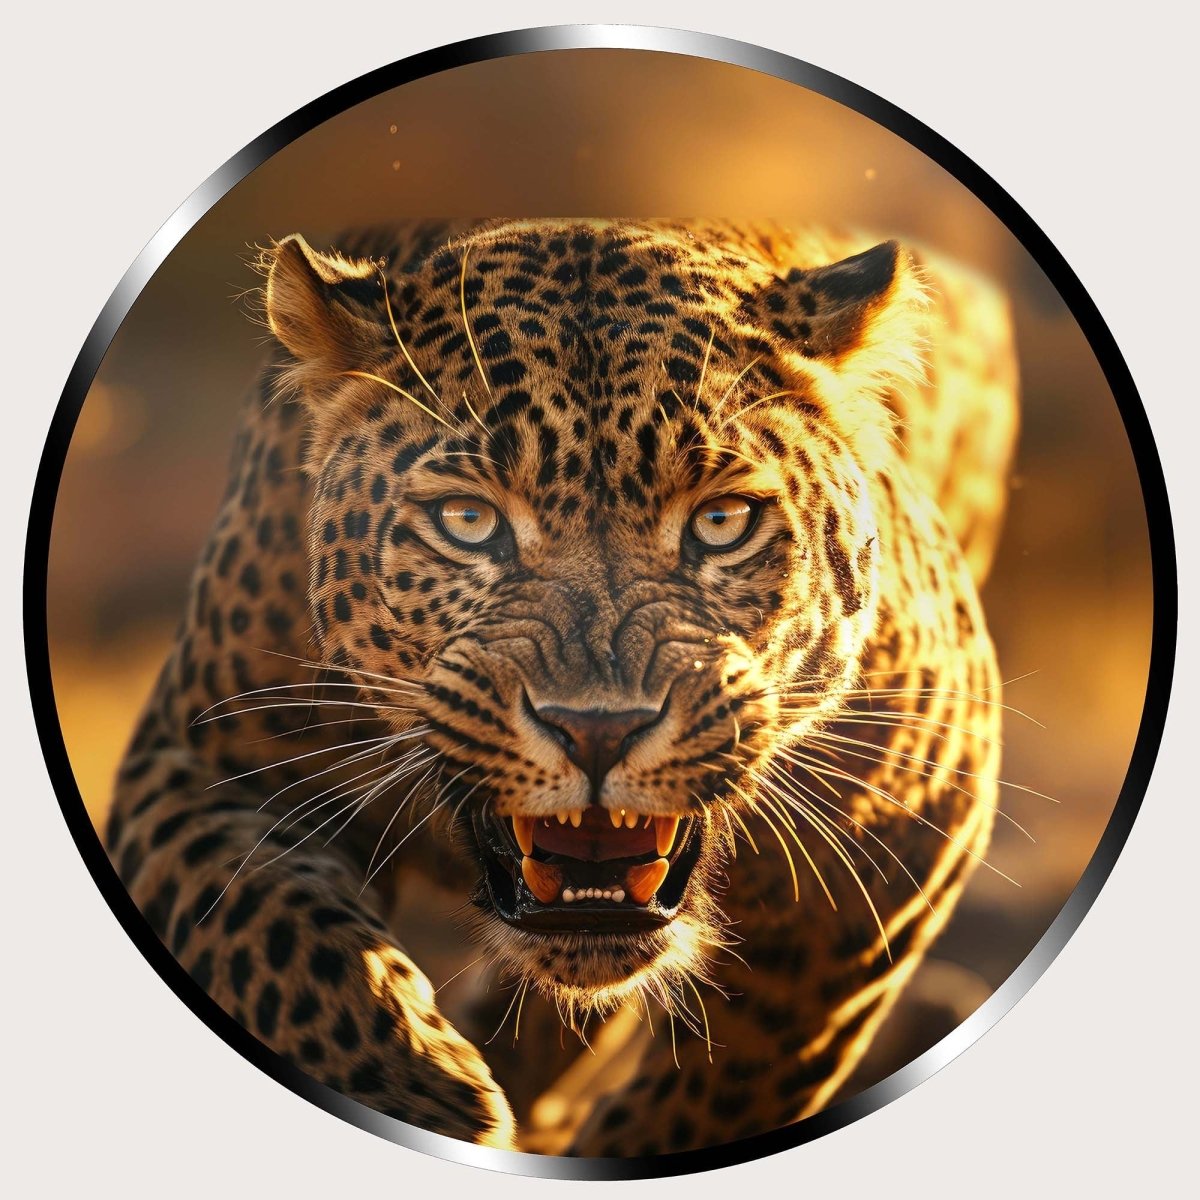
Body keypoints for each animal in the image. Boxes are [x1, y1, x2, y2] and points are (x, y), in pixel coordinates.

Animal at [104, 218, 1018, 1157]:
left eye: (722, 522)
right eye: (468, 521)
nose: (598, 730)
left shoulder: (912, 827)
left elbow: (752, 1066)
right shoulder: (204, 762)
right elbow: (279, 940)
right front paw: (427, 1099)